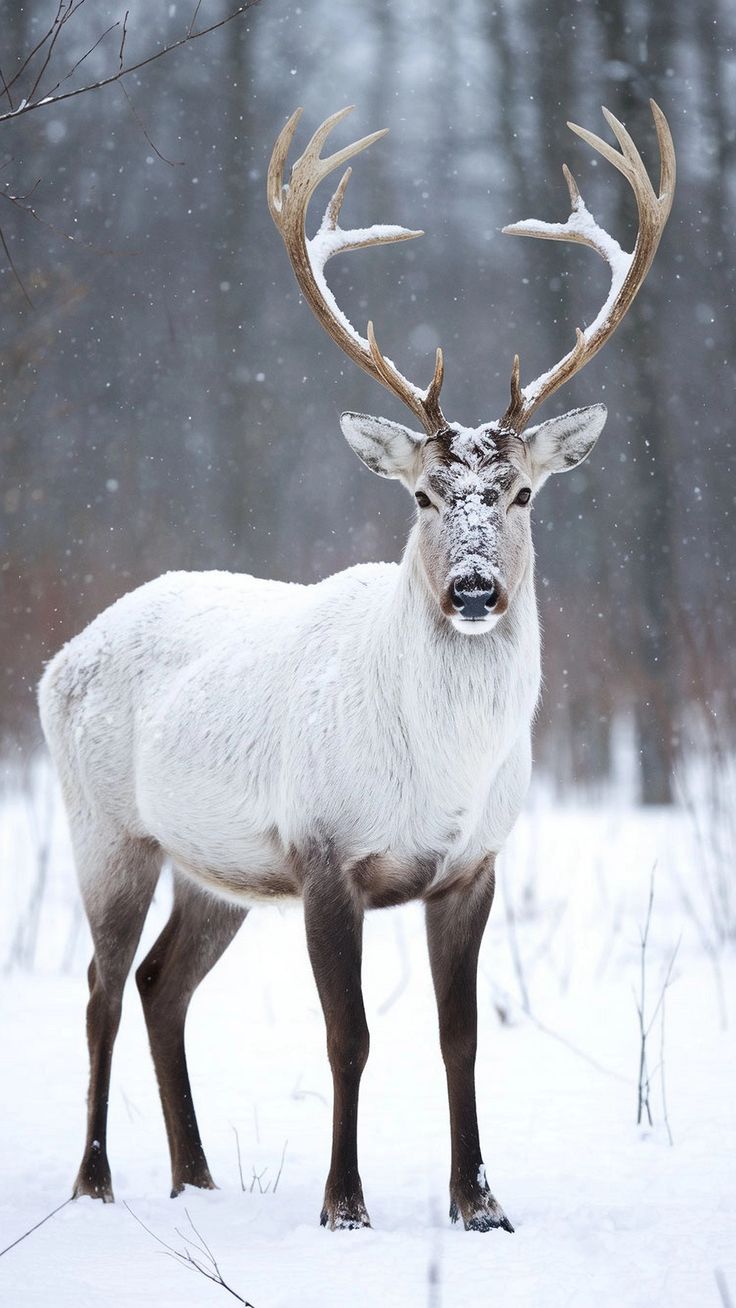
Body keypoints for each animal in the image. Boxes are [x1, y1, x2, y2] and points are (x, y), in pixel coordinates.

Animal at [39, 101, 674, 1233]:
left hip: (216, 866)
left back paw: (196, 1176)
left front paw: (480, 1205)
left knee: (162, 984)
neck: (441, 771)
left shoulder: (471, 865)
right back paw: (97, 1181)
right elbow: (350, 1036)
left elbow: (461, 1038)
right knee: (102, 988)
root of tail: (61, 656)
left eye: (523, 494)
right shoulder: (325, 850)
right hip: (106, 827)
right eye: (421, 495)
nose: (474, 590)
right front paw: (344, 1205)